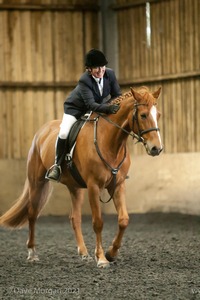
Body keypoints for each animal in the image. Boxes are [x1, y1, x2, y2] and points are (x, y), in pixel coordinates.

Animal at [0, 85, 162, 268]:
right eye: (143, 115)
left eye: (158, 115)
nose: (156, 148)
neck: (109, 141)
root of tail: (42, 130)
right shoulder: (93, 186)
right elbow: (98, 222)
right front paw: (101, 258)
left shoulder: (118, 185)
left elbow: (123, 220)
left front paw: (111, 253)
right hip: (37, 182)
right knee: (32, 214)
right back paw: (32, 252)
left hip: (75, 187)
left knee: (74, 217)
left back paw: (83, 253)